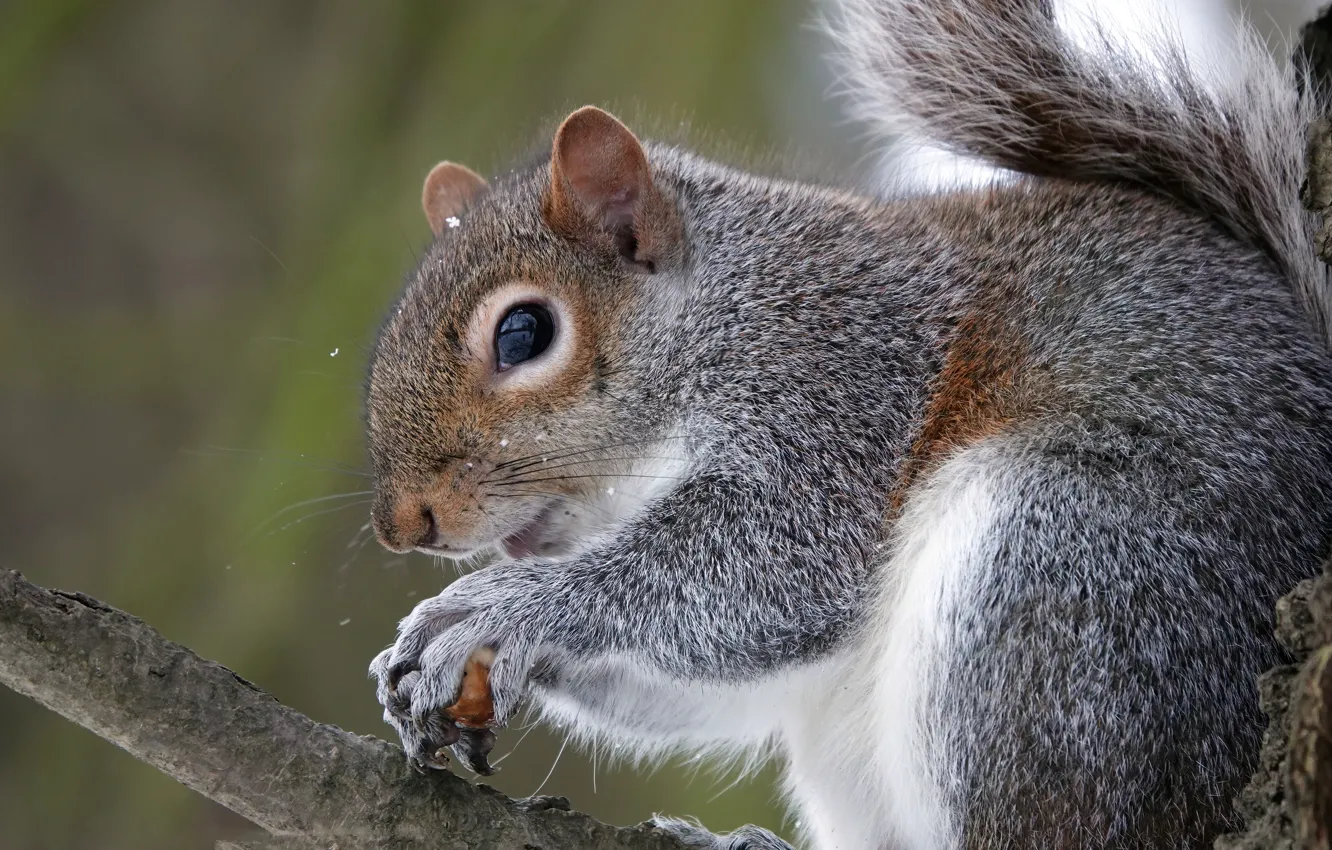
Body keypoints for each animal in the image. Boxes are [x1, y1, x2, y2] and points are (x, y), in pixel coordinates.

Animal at [364, 0, 1332, 847]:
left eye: (524, 333)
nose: (402, 524)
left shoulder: (839, 387)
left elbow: (771, 570)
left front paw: (500, 608)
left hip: (1064, 582)